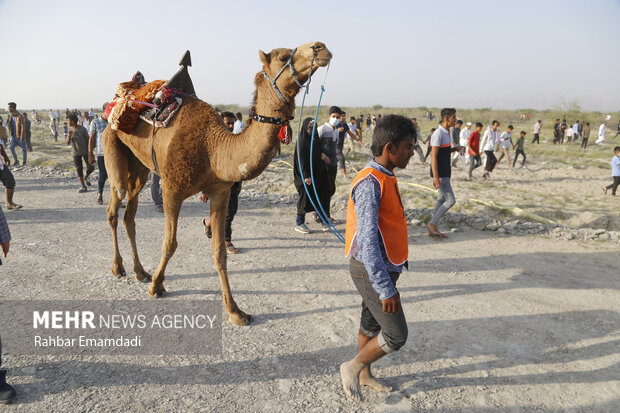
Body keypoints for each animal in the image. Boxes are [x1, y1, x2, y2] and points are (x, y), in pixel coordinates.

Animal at [102, 41, 332, 326]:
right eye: (283, 57)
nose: (320, 47)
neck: (213, 148)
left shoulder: (220, 191)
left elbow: (219, 252)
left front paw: (235, 311)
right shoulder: (171, 189)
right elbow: (170, 244)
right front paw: (157, 286)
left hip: (140, 166)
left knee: (129, 215)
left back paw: (139, 271)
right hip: (112, 144)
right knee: (115, 207)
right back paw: (118, 268)